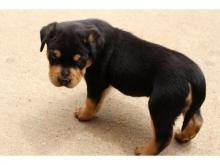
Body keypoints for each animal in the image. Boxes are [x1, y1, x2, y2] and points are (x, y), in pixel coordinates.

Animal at [40, 18, 206, 155]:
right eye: (53, 55)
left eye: (79, 59)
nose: (63, 79)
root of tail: (193, 76)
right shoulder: (103, 84)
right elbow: (98, 101)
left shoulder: (96, 81)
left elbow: (91, 101)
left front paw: (83, 115)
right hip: (184, 104)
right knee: (197, 120)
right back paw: (183, 137)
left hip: (160, 105)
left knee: (163, 136)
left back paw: (144, 152)